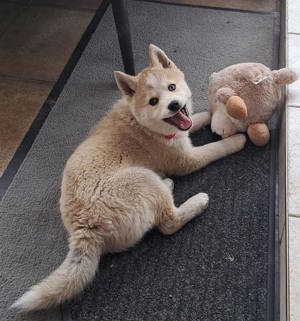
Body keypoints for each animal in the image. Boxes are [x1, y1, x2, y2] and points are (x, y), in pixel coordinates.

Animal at [12, 44, 246, 310]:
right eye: (153, 102)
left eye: (172, 87)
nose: (174, 105)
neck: (142, 124)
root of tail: (85, 229)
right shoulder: (186, 160)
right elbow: (215, 149)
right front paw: (236, 140)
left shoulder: (183, 131)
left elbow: (194, 121)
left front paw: (206, 114)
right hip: (140, 179)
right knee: (168, 222)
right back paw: (195, 200)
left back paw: (168, 183)